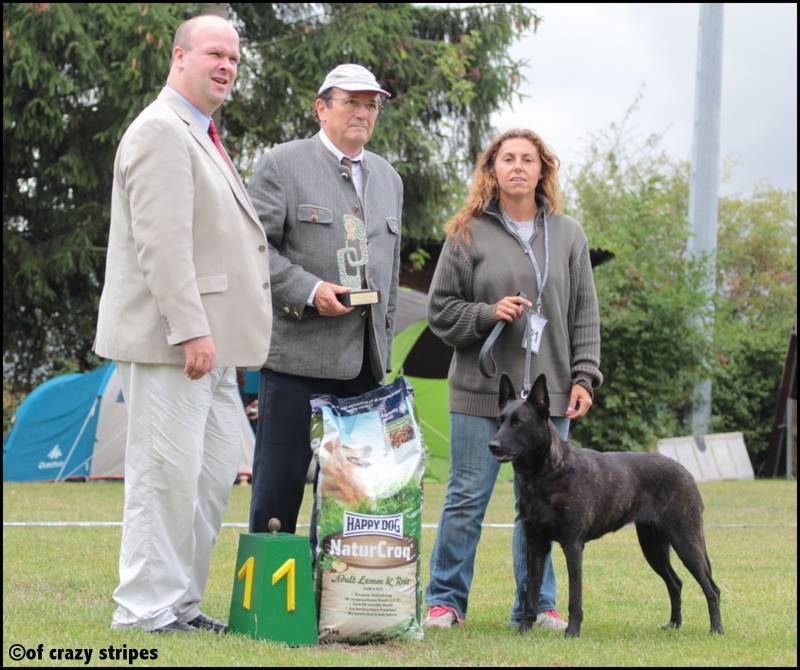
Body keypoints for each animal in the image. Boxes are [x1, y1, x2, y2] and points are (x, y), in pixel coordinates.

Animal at [490, 376, 720, 636]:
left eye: (518, 422)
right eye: (499, 420)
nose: (493, 445)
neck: (546, 473)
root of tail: (687, 472)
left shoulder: (573, 545)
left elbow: (575, 597)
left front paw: (572, 632)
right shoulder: (536, 544)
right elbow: (530, 592)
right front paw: (524, 630)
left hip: (686, 540)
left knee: (711, 588)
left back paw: (716, 629)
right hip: (653, 546)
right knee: (676, 583)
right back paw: (674, 624)